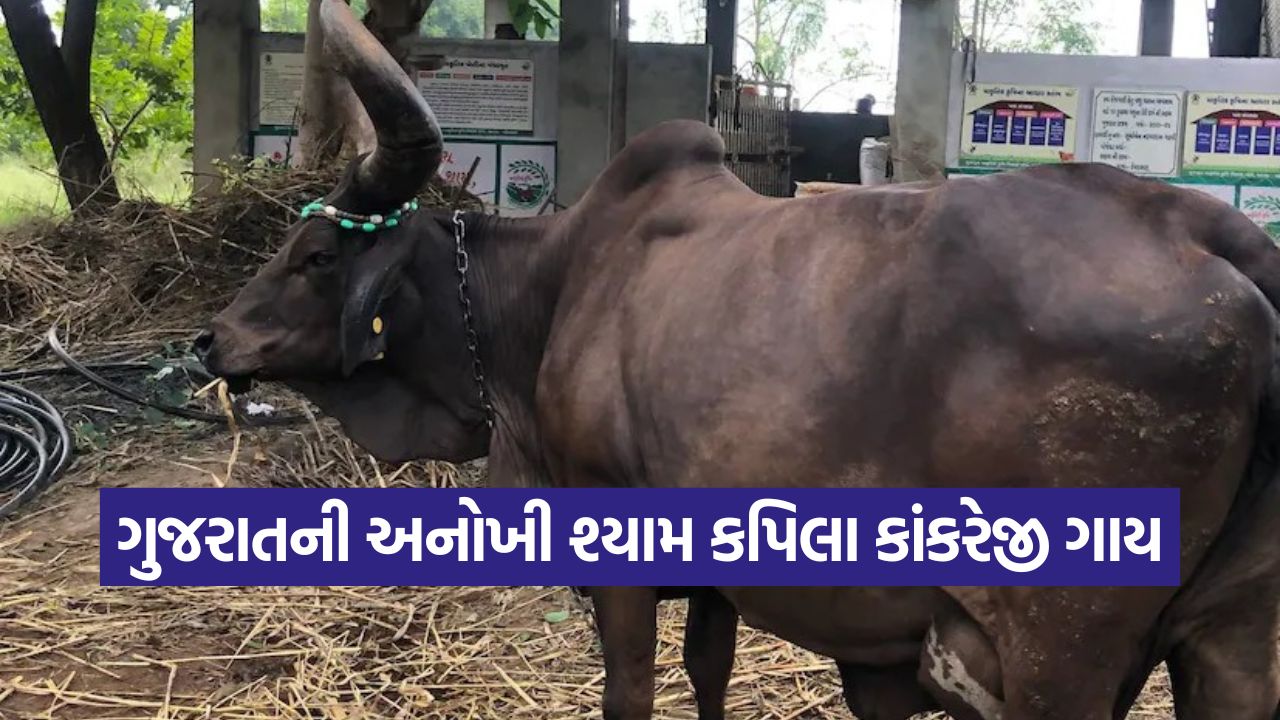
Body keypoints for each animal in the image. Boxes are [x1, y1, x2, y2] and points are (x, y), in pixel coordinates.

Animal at [197, 1, 1280, 718]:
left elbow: (631, 691)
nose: (212, 338)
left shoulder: (619, 550)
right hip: (1231, 641)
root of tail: (1210, 235)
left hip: (1063, 651)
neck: (550, 293)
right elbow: (707, 675)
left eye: (316, 253)